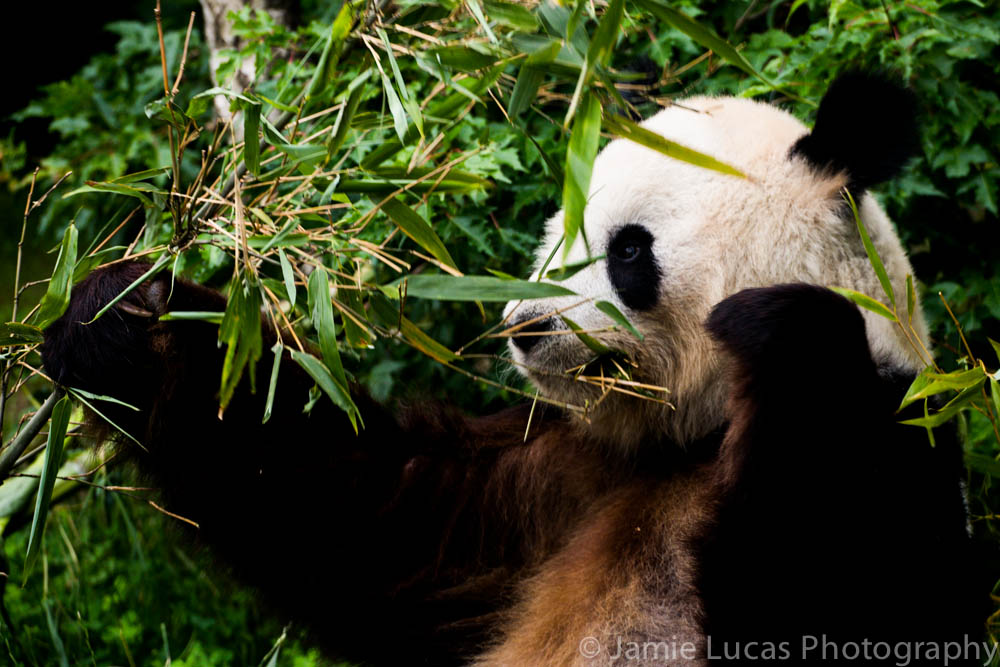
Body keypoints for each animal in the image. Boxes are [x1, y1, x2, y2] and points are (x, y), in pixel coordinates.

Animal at [42, 71, 981, 666]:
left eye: (628, 250)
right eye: (553, 239)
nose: (525, 328)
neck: (693, 437)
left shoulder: (903, 443)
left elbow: (834, 595)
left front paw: (781, 330)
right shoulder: (561, 482)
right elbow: (367, 509)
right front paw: (126, 320)